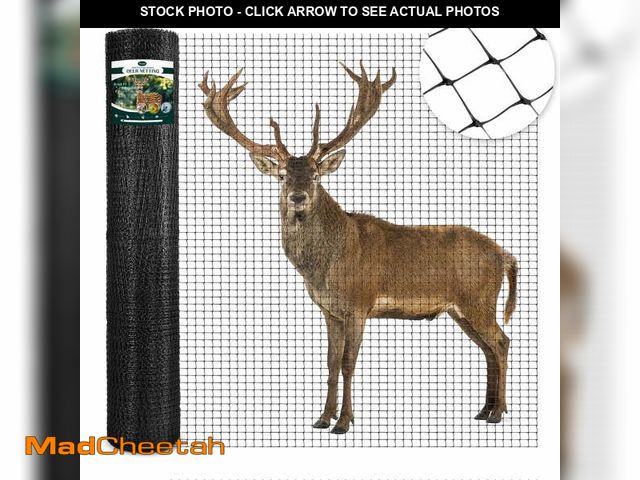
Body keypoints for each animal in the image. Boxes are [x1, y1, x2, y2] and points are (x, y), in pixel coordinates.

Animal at [199, 63, 517, 434]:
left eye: (316, 175)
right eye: (281, 176)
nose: (297, 197)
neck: (325, 266)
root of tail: (505, 256)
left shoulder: (359, 302)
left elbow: (349, 362)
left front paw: (344, 422)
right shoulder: (330, 309)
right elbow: (330, 362)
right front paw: (322, 418)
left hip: (478, 299)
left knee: (501, 342)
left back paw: (498, 412)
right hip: (461, 308)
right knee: (488, 347)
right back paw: (485, 410)